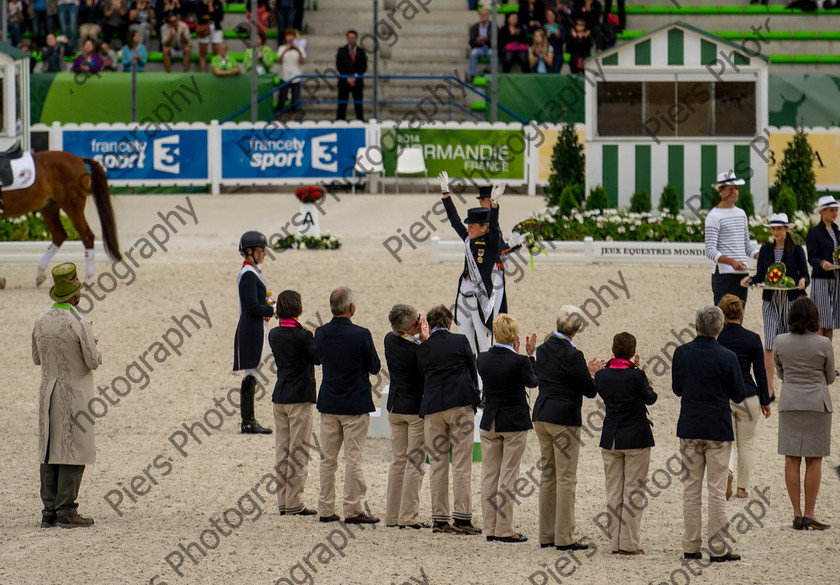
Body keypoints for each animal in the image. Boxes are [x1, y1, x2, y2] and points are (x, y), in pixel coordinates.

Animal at [0, 149, 121, 288]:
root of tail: (78, 158)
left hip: (72, 208)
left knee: (87, 236)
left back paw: (86, 279)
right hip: (49, 208)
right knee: (59, 235)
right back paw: (40, 274)